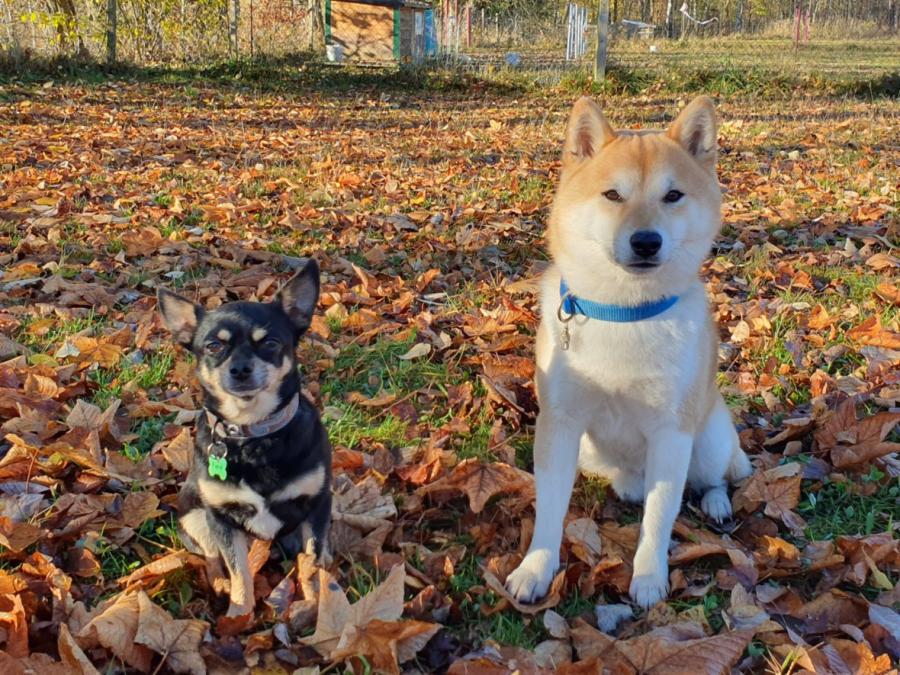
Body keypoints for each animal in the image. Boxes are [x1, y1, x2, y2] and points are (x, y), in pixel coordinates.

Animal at [157, 259, 332, 617]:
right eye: (213, 346)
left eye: (270, 343)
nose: (239, 369)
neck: (254, 435)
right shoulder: (222, 519)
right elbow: (239, 572)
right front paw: (239, 614)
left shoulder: (317, 505)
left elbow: (311, 564)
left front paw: (312, 605)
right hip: (195, 517)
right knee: (213, 558)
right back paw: (218, 586)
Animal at [505, 96, 752, 609]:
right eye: (612, 195)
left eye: (673, 196)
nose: (645, 241)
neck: (624, 313)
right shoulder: (561, 425)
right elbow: (550, 507)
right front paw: (536, 568)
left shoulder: (672, 435)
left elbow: (659, 517)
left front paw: (649, 577)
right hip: (592, 453)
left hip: (708, 439)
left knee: (715, 475)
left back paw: (716, 501)